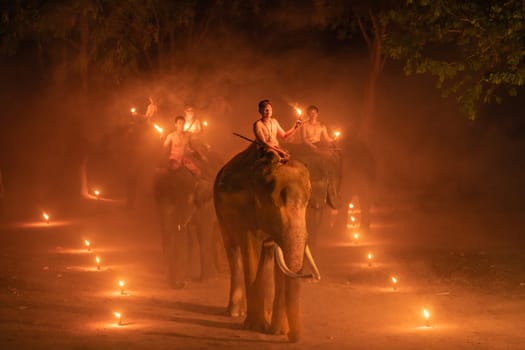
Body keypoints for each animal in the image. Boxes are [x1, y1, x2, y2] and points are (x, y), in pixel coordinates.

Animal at [212, 144, 320, 344]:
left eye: (307, 202)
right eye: (272, 202)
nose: (292, 337)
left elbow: (280, 263)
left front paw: (277, 332)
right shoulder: (245, 212)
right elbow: (250, 248)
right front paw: (256, 328)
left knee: (267, 256)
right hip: (220, 215)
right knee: (233, 251)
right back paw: (235, 313)